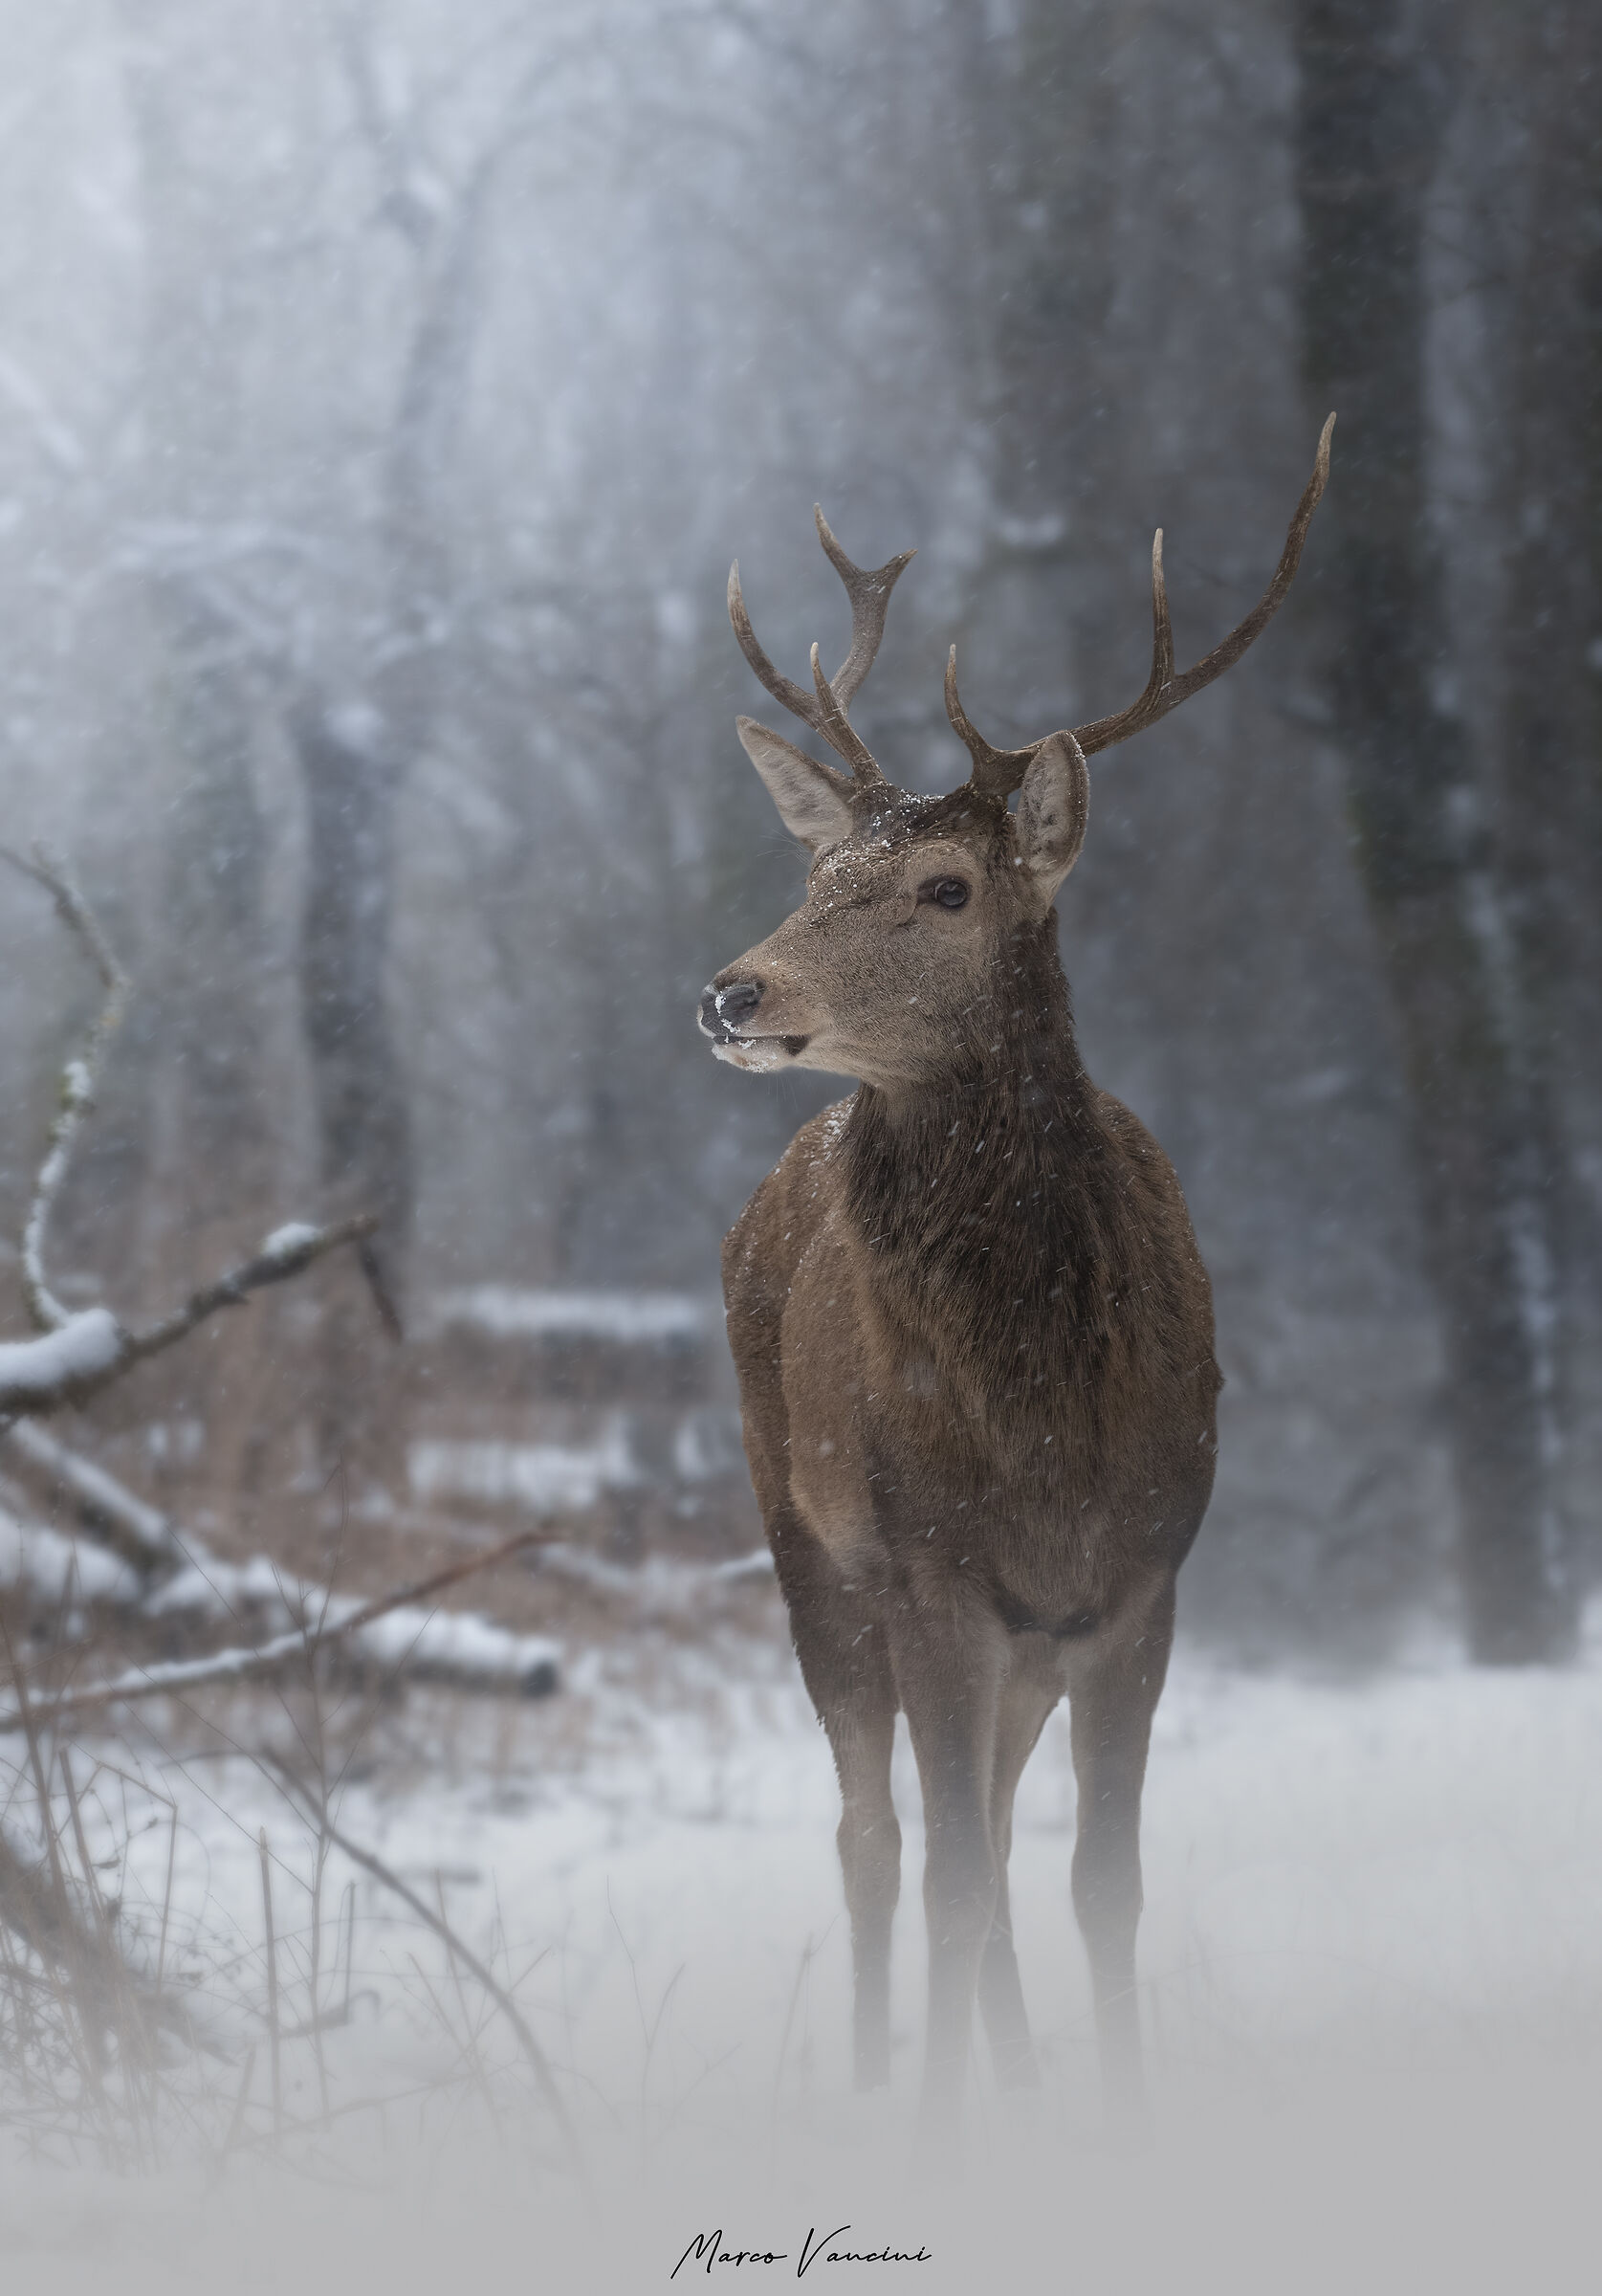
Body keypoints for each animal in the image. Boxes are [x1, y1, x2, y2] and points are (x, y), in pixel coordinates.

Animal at [699, 419, 1333, 2156]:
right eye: (816, 871)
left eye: (944, 887)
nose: (733, 991)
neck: (1045, 1412)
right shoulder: (932, 1569)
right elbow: (958, 1879)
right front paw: (940, 2145)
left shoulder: (1139, 1579)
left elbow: (1095, 1882)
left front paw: (1108, 2122)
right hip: (806, 1545)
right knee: (880, 1839)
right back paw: (876, 2082)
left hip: (1018, 1644)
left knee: (967, 1818)